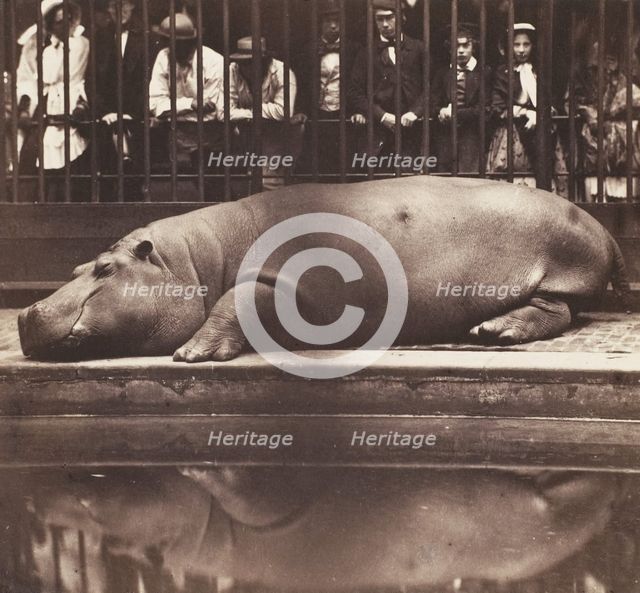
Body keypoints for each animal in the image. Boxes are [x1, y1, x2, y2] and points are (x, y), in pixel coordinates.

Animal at [18, 176, 629, 362]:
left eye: (104, 268)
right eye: (76, 263)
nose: (25, 311)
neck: (197, 258)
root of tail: (604, 229)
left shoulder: (284, 279)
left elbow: (235, 299)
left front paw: (192, 353)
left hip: (559, 271)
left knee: (559, 309)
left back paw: (493, 331)